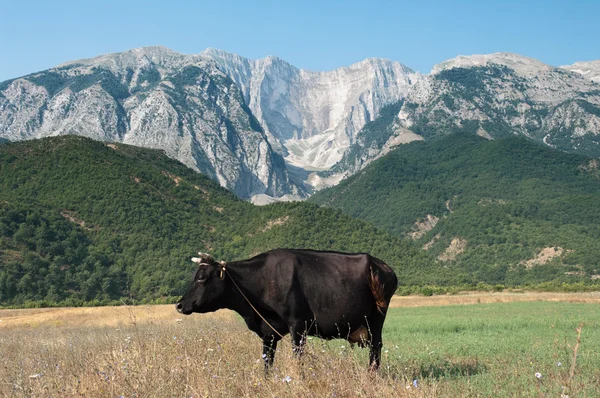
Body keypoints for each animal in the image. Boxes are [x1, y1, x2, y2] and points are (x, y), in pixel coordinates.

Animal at [175, 249, 398, 370]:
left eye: (201, 277)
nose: (179, 305)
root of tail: (380, 265)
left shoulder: (298, 326)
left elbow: (298, 360)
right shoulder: (269, 333)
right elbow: (267, 363)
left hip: (377, 319)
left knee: (376, 349)